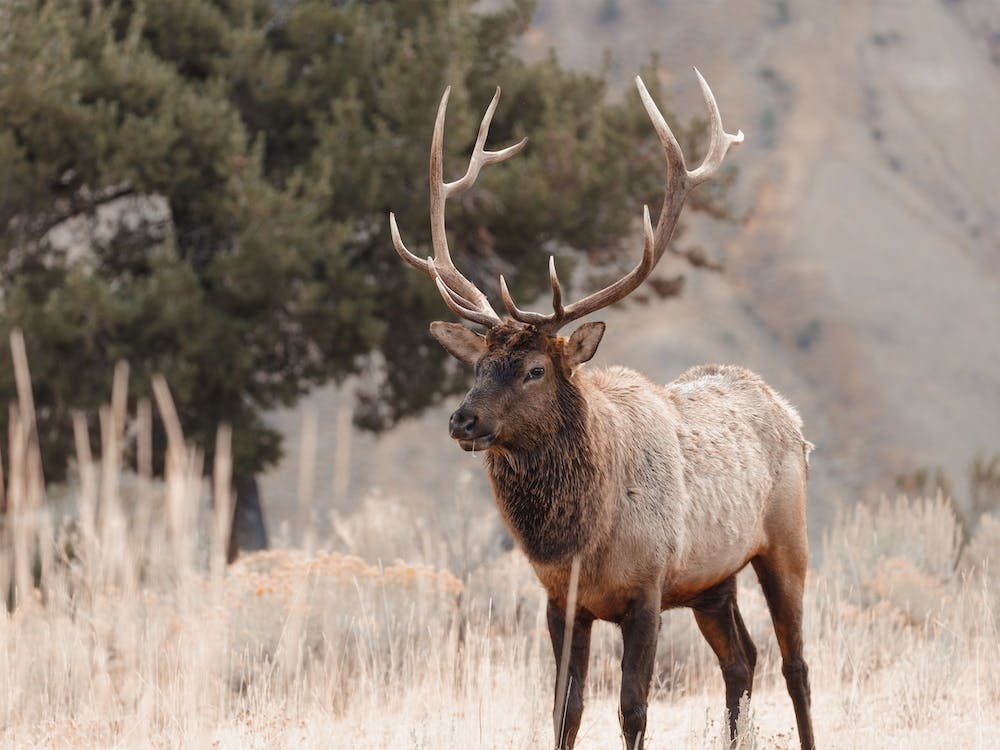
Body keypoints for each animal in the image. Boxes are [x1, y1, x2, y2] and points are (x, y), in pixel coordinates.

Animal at [388, 70, 815, 750]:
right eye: (478, 365)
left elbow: (632, 709)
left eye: (535, 369)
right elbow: (565, 710)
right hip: (711, 581)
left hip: (785, 542)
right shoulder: (561, 602)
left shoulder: (647, 588)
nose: (462, 420)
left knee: (795, 664)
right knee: (742, 661)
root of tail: (790, 416)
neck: (583, 541)